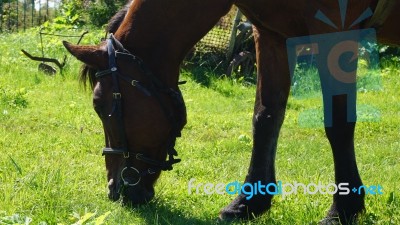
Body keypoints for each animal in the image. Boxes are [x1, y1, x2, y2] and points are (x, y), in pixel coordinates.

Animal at [63, 0, 400, 223]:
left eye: (100, 105)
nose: (115, 190)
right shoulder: (272, 36)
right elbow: (265, 116)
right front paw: (249, 202)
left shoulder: (334, 31)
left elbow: (338, 123)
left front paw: (344, 208)